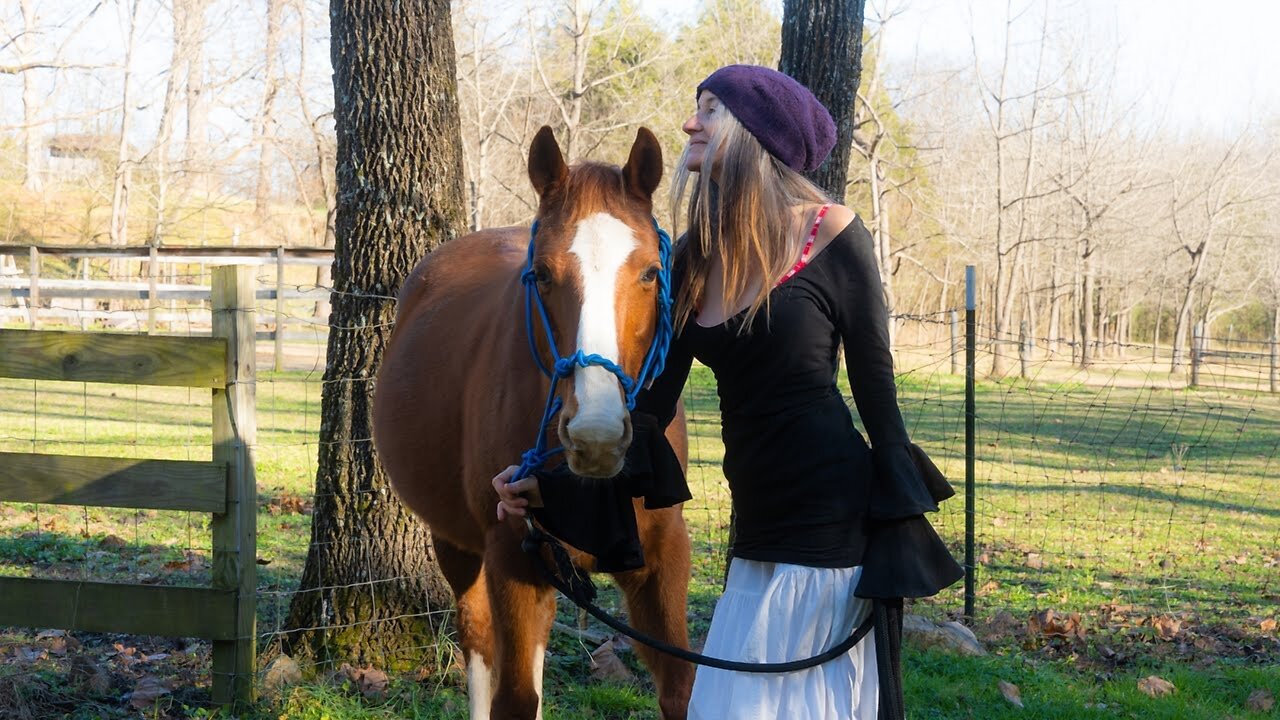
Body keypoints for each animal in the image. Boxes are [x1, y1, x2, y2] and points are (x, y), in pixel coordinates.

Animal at [371, 126, 696, 712]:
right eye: (542, 274)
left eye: (651, 272)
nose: (596, 436)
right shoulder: (514, 562)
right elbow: (516, 697)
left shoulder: (660, 565)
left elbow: (681, 689)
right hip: (458, 547)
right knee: (480, 646)